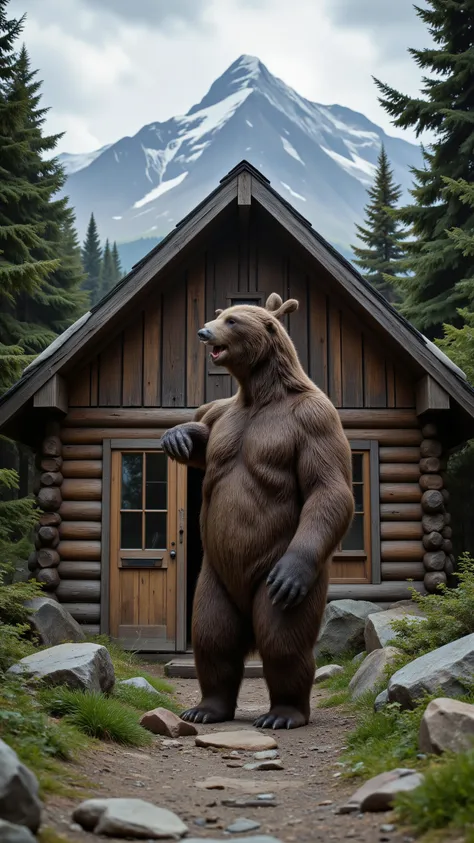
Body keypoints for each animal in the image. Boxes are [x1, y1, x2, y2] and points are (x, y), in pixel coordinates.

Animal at [161, 292, 354, 729]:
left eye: (232, 321)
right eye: (219, 315)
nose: (203, 331)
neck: (259, 394)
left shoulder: (314, 419)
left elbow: (327, 488)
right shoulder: (223, 413)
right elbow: (205, 439)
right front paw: (178, 436)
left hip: (278, 570)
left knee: (281, 639)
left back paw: (283, 713)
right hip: (214, 575)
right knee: (214, 633)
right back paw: (206, 707)